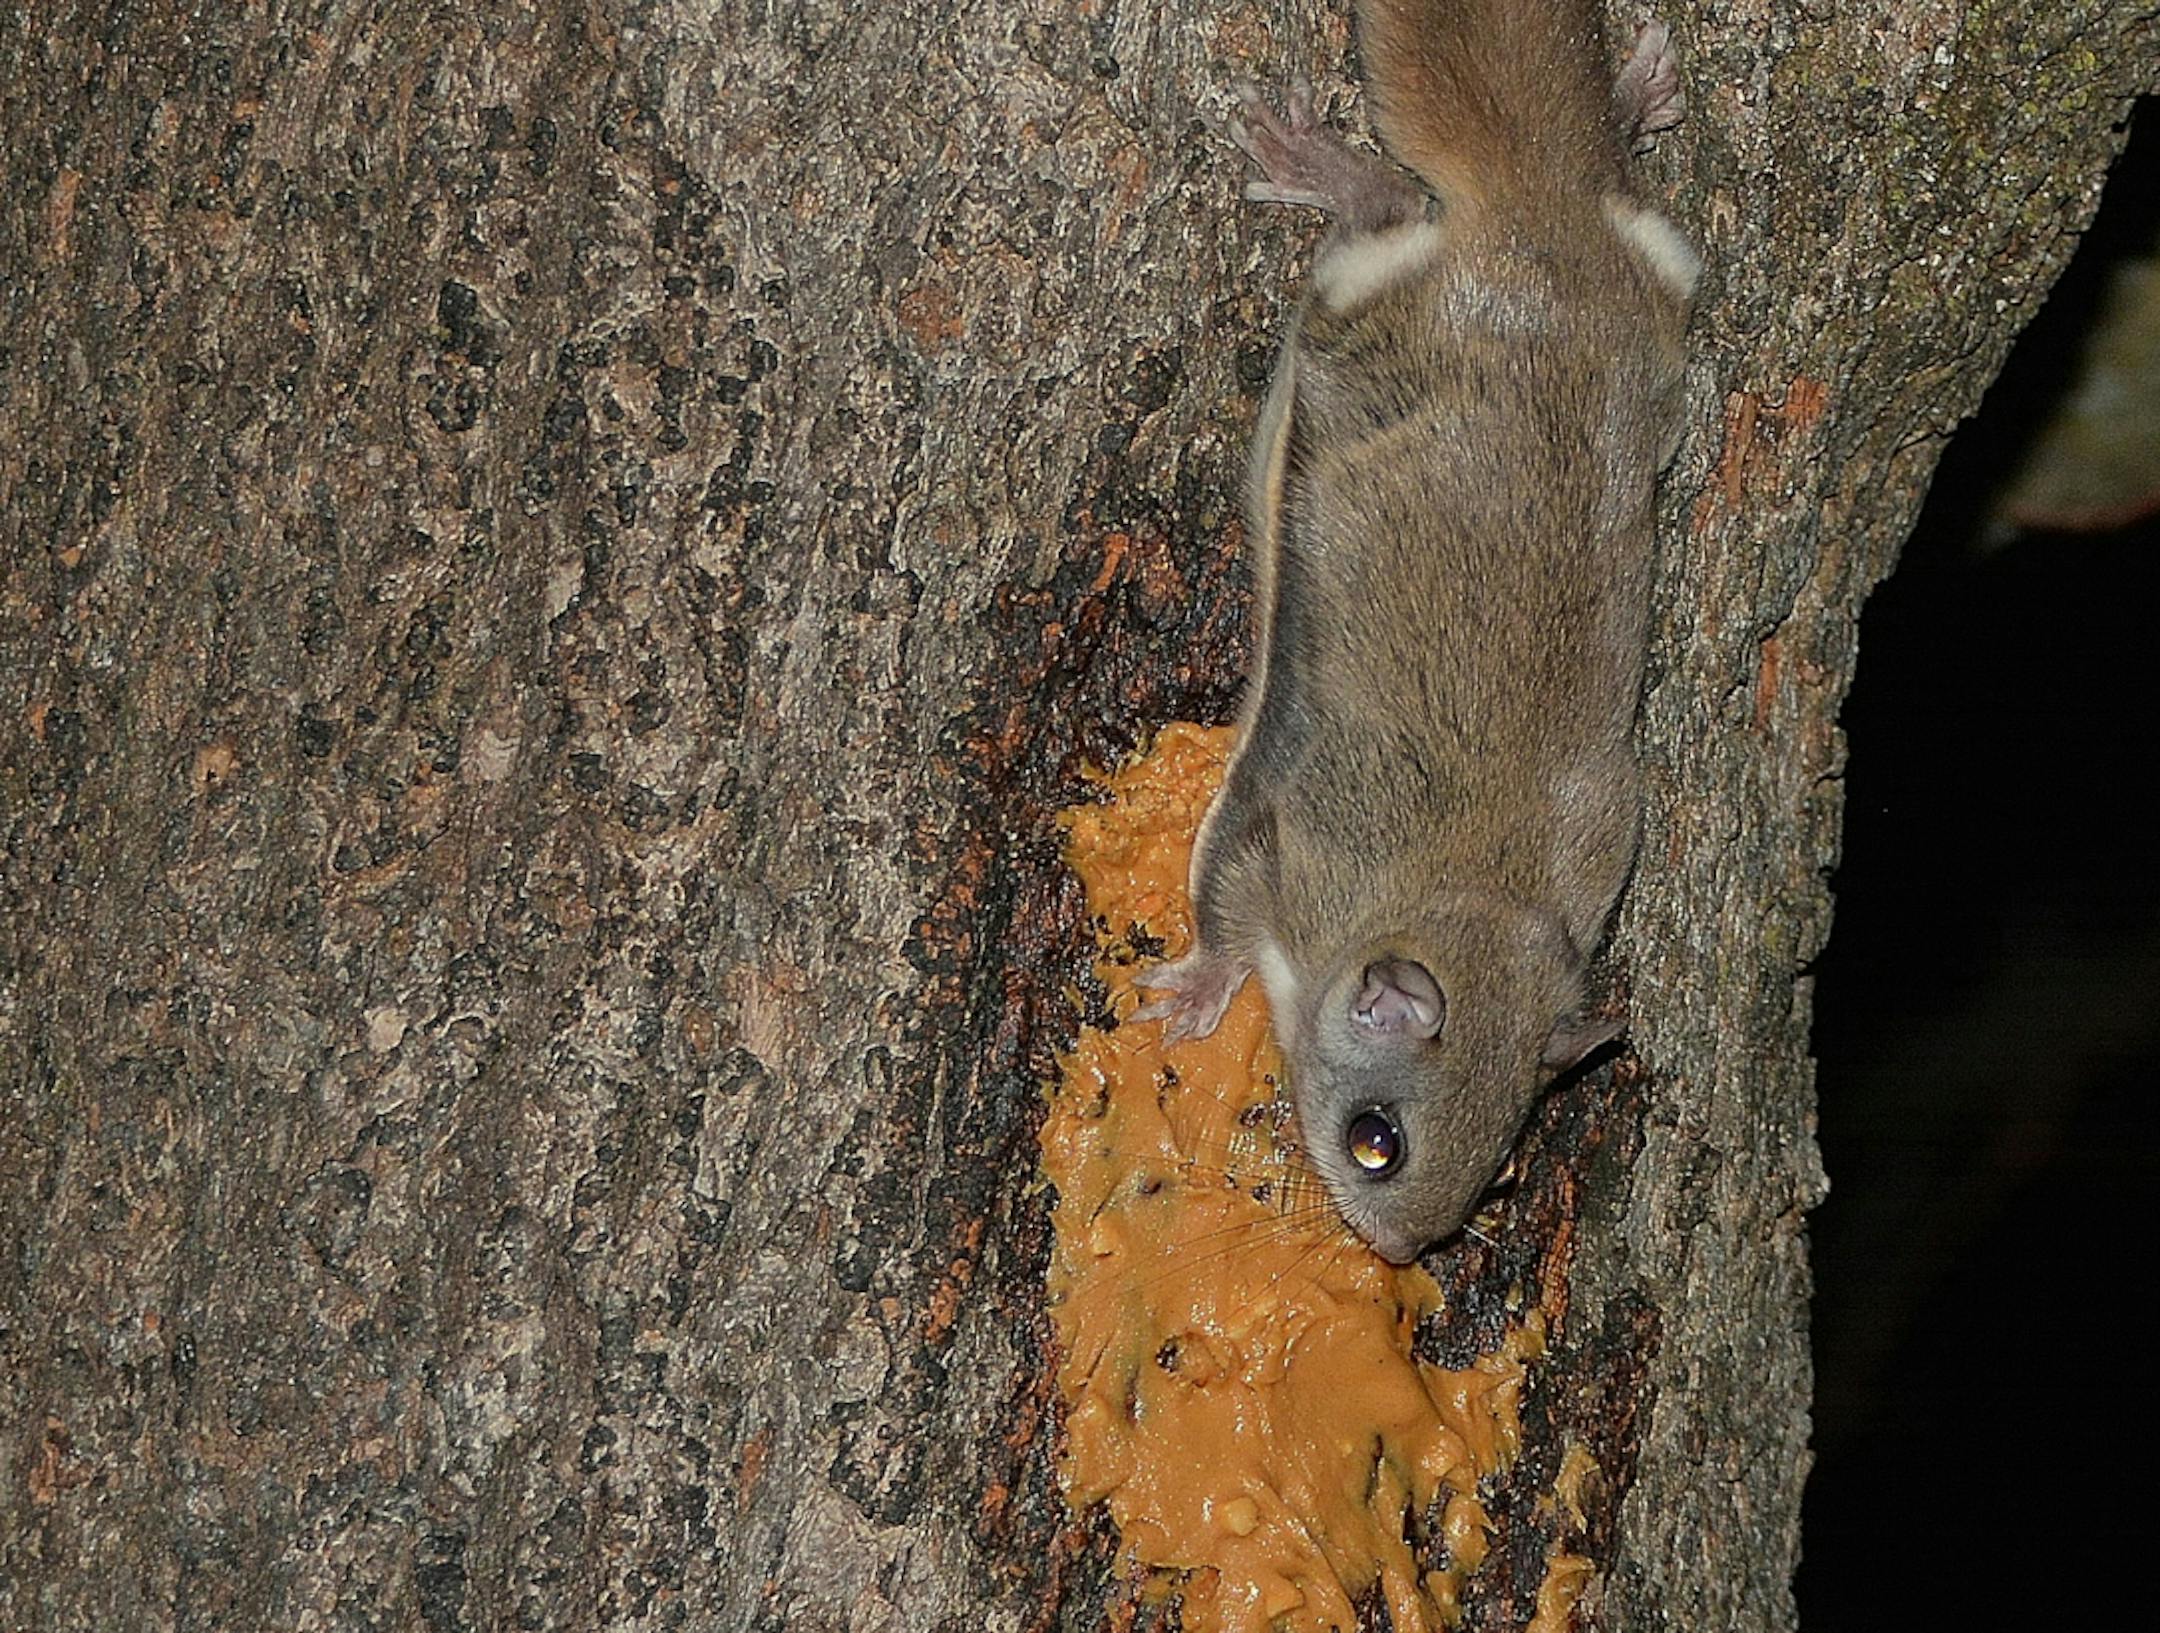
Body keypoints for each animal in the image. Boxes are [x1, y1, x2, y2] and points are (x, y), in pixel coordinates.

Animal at [1139, 2, 1699, 1264]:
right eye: (1374, 1141)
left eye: (1500, 1166)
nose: (1397, 1254)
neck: (1473, 896)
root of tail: (1537, 231)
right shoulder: (1280, 846)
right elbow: (1222, 906)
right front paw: (1198, 989)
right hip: (1370, 310)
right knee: (1387, 211)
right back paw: (1331, 167)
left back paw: (1626, 105)